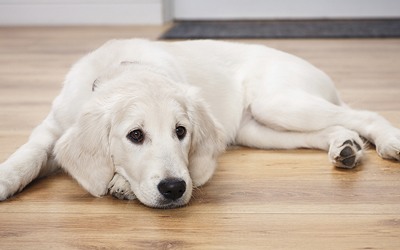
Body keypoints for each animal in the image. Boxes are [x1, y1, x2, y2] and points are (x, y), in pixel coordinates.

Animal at [0, 38, 400, 207]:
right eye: (135, 135)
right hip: (260, 130)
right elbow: (30, 154)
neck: (118, 69)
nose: (174, 188)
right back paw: (345, 148)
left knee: (363, 115)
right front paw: (6, 177)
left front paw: (121, 184)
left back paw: (388, 141)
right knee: (334, 128)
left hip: (278, 103)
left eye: (181, 132)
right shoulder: (52, 128)